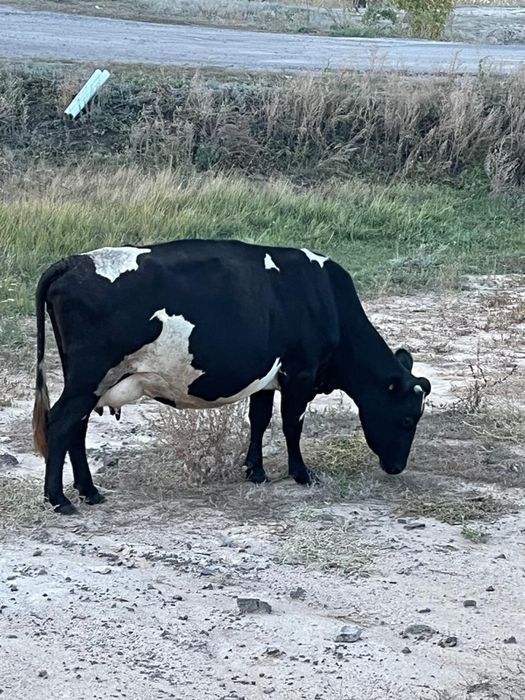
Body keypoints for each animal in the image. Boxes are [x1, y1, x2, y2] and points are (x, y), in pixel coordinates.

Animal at [33, 239, 431, 515]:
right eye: (408, 418)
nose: (397, 467)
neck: (325, 300)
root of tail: (72, 262)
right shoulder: (300, 374)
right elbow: (291, 426)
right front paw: (302, 474)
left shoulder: (267, 378)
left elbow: (259, 419)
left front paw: (255, 471)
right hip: (89, 378)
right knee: (61, 421)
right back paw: (59, 499)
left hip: (91, 383)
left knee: (76, 427)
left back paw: (89, 491)